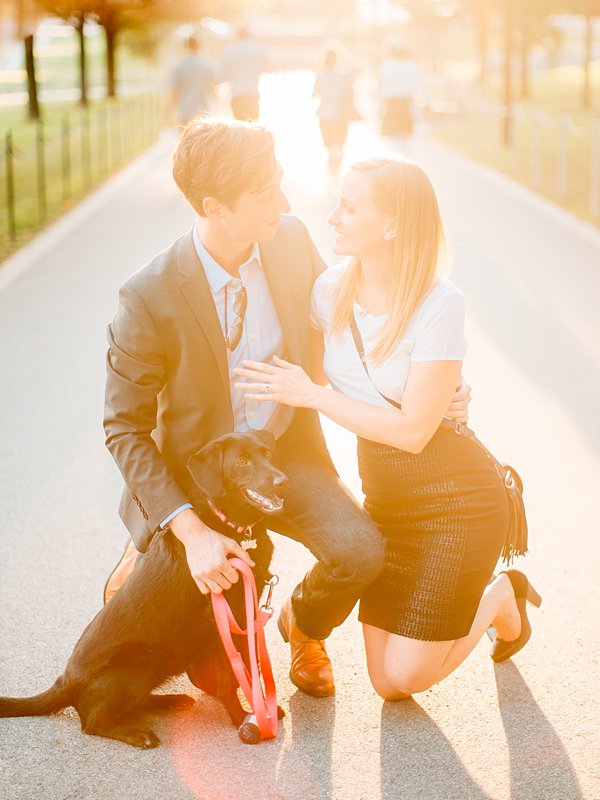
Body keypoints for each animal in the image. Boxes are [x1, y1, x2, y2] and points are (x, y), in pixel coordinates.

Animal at [0, 432, 288, 752]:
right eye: (242, 461)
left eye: (268, 454)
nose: (282, 481)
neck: (234, 528)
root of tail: (65, 681)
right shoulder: (219, 620)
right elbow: (231, 675)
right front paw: (242, 717)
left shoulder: (246, 610)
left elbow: (251, 663)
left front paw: (263, 709)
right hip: (139, 663)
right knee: (91, 723)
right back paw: (138, 734)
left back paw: (169, 701)